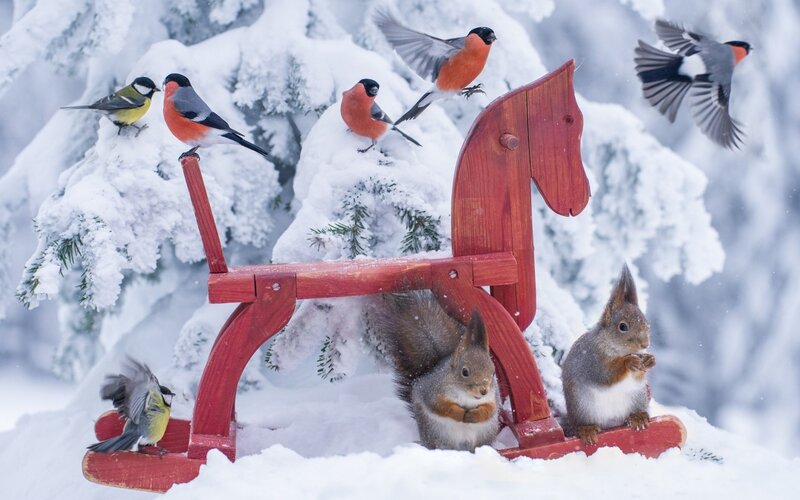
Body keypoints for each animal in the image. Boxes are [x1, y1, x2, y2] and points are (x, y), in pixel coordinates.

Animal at [370, 291, 500, 451]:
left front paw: (474, 415)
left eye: (493, 372)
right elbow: (440, 406)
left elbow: (489, 410)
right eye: (465, 372)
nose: (483, 391)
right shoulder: (432, 391)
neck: (466, 396)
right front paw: (459, 413)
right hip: (434, 432)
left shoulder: (493, 398)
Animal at [561, 264, 656, 445]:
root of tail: (612, 424)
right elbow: (605, 375)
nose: (645, 345)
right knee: (580, 425)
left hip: (637, 397)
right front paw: (629, 362)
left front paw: (649, 360)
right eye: (623, 327)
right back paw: (587, 429)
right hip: (581, 406)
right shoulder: (591, 361)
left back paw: (638, 417)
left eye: (647, 323)